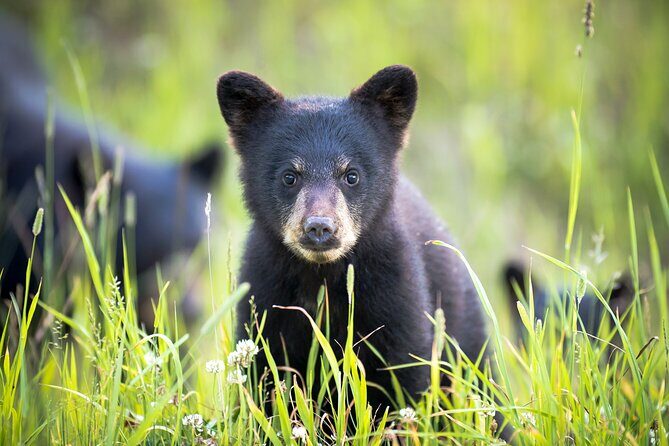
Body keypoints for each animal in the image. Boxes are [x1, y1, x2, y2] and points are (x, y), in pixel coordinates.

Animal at [215, 66, 490, 413]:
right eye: (289, 176)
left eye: (352, 175)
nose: (320, 227)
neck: (323, 278)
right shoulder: (266, 298)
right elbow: (266, 383)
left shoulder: (394, 296)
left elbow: (404, 378)